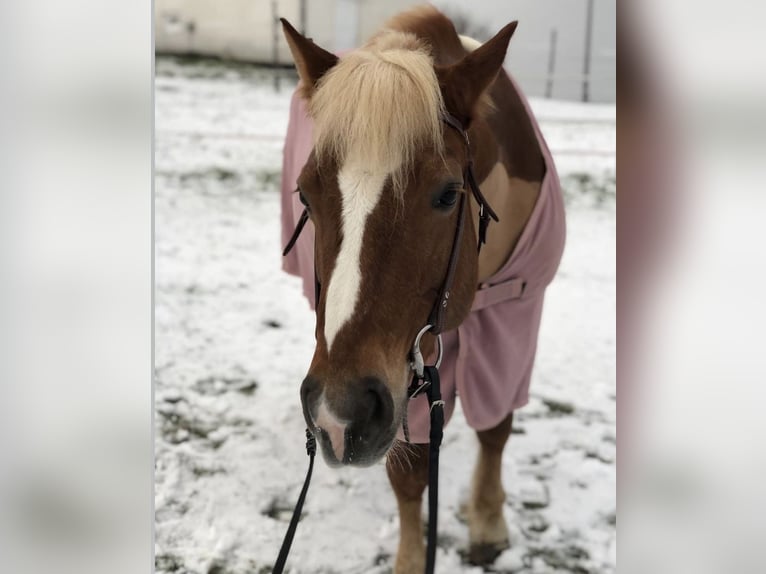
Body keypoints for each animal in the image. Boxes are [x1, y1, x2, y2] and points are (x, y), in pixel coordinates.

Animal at [280, 5, 568, 574]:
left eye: (448, 194)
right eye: (305, 193)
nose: (337, 416)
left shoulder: (515, 314)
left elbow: (496, 426)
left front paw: (487, 522)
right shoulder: (406, 369)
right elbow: (410, 469)